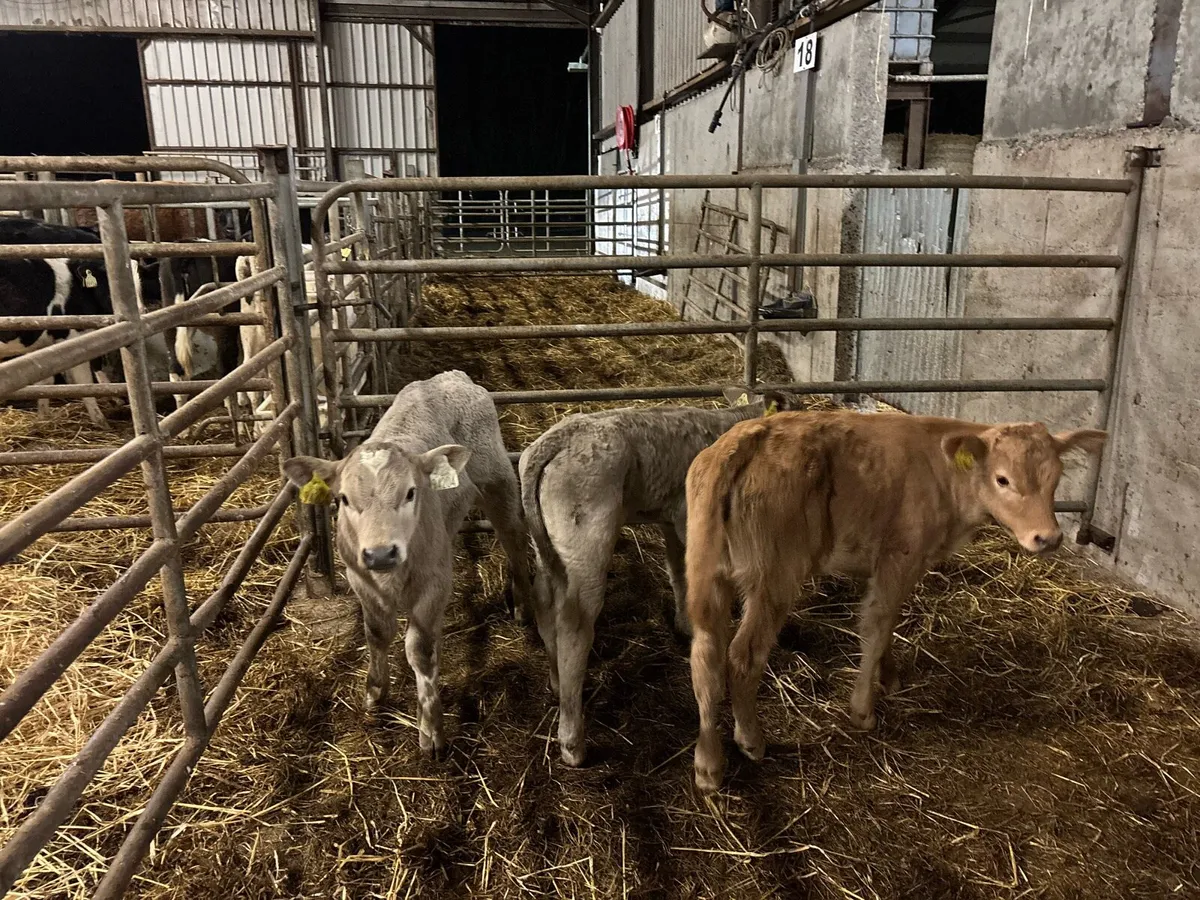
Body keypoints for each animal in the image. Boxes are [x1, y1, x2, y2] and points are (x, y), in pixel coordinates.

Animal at [282, 370, 534, 753]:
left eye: (411, 492)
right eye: (343, 499)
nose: (380, 553)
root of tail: (449, 377)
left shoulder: (436, 583)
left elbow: (421, 650)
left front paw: (431, 729)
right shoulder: (360, 580)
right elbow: (377, 633)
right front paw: (375, 693)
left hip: (498, 480)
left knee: (515, 539)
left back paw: (522, 603)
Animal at [518, 388, 790, 767]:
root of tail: (557, 439)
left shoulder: (673, 518)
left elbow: (679, 572)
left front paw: (684, 625)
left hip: (549, 546)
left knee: (544, 603)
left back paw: (557, 683)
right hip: (585, 540)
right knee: (574, 624)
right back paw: (573, 742)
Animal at [684, 410, 1106, 792]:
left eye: (1056, 478)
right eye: (1003, 479)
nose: (1048, 538)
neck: (945, 474)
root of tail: (748, 435)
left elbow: (887, 626)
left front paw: (889, 677)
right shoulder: (899, 556)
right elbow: (878, 624)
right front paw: (863, 709)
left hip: (707, 571)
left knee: (705, 654)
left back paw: (708, 764)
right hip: (774, 577)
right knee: (742, 656)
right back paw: (750, 739)